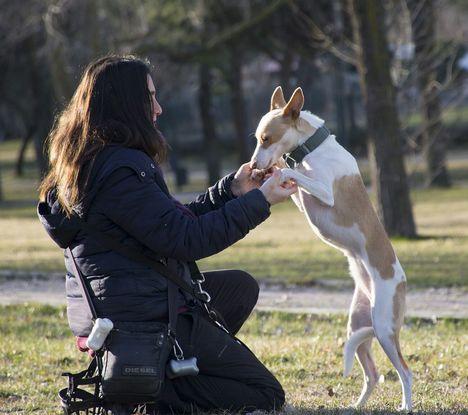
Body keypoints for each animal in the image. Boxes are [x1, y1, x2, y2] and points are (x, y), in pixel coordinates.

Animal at [252, 86, 414, 412]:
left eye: (266, 139)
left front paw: (278, 173)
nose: (252, 166)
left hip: (384, 329)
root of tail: (401, 281)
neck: (312, 151)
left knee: (405, 372)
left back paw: (406, 405)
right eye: (258, 138)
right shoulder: (301, 198)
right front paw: (276, 170)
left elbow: (294, 175)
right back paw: (356, 406)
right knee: (373, 374)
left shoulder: (324, 191)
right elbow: (292, 177)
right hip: (359, 328)